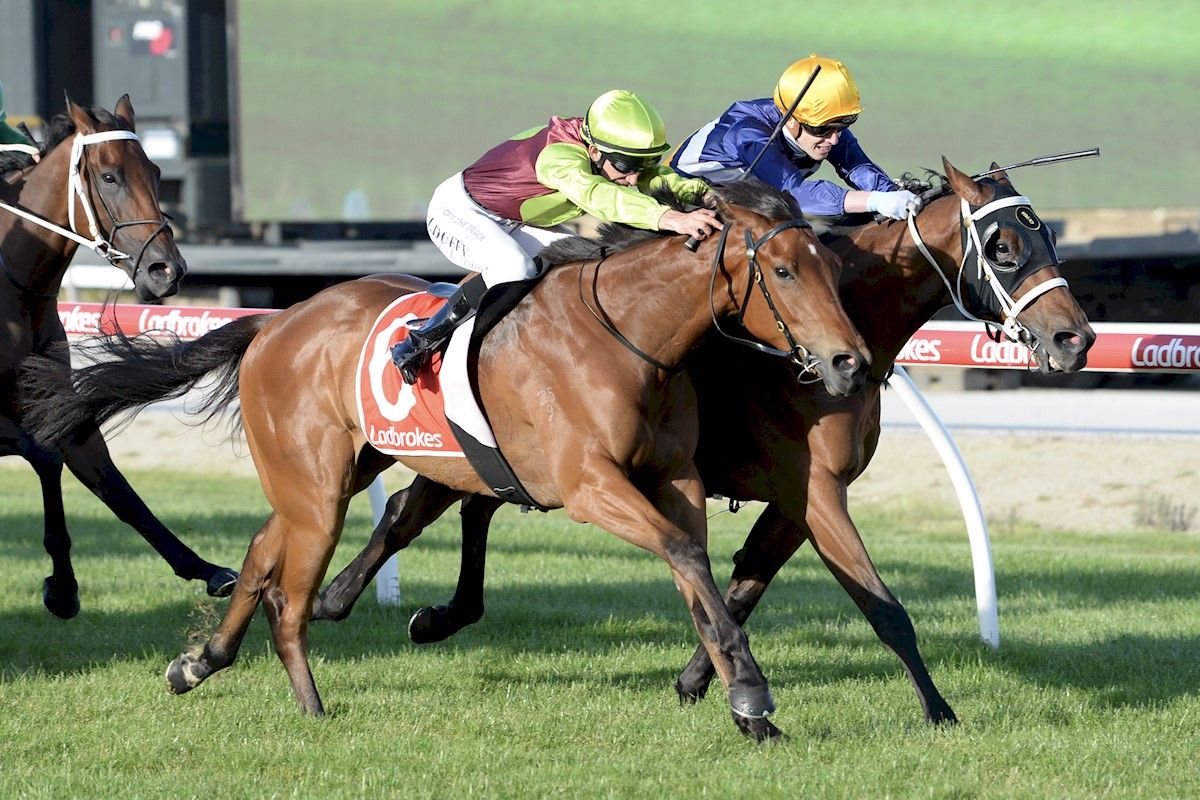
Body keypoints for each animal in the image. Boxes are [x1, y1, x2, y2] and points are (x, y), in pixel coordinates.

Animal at [0, 96, 237, 618]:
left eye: (155, 171)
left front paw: (206, 569)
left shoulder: (58, 403)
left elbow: (118, 490)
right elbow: (43, 452)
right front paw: (61, 586)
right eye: (109, 177)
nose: (166, 270)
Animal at [23, 179, 872, 741]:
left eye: (834, 271)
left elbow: (696, 571)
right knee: (288, 593)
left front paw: (736, 698)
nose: (849, 363)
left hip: (333, 474)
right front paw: (751, 695)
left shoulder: (675, 477)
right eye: (785, 271)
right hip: (319, 491)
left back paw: (200, 662)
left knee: (263, 553)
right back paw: (309, 703)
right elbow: (684, 555)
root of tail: (273, 324)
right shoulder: (588, 485)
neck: (632, 337)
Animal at [308, 158, 1095, 728]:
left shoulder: (795, 499)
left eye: (1049, 238)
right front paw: (938, 709)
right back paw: (343, 599)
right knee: (414, 508)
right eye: (1003, 246)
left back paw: (398, 609)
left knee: (450, 504)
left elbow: (742, 585)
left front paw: (699, 681)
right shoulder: (813, 490)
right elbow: (882, 606)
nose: (1075, 339)